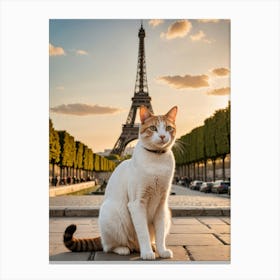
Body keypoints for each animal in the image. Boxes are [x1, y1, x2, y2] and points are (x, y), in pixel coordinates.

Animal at [64, 105, 177, 260]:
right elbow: (143, 232)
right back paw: (124, 249)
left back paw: (152, 247)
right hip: (111, 214)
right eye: (153, 128)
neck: (157, 158)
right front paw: (147, 253)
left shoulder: (161, 204)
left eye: (168, 128)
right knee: (109, 246)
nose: (162, 136)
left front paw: (161, 250)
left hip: (167, 212)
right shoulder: (137, 203)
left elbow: (160, 233)